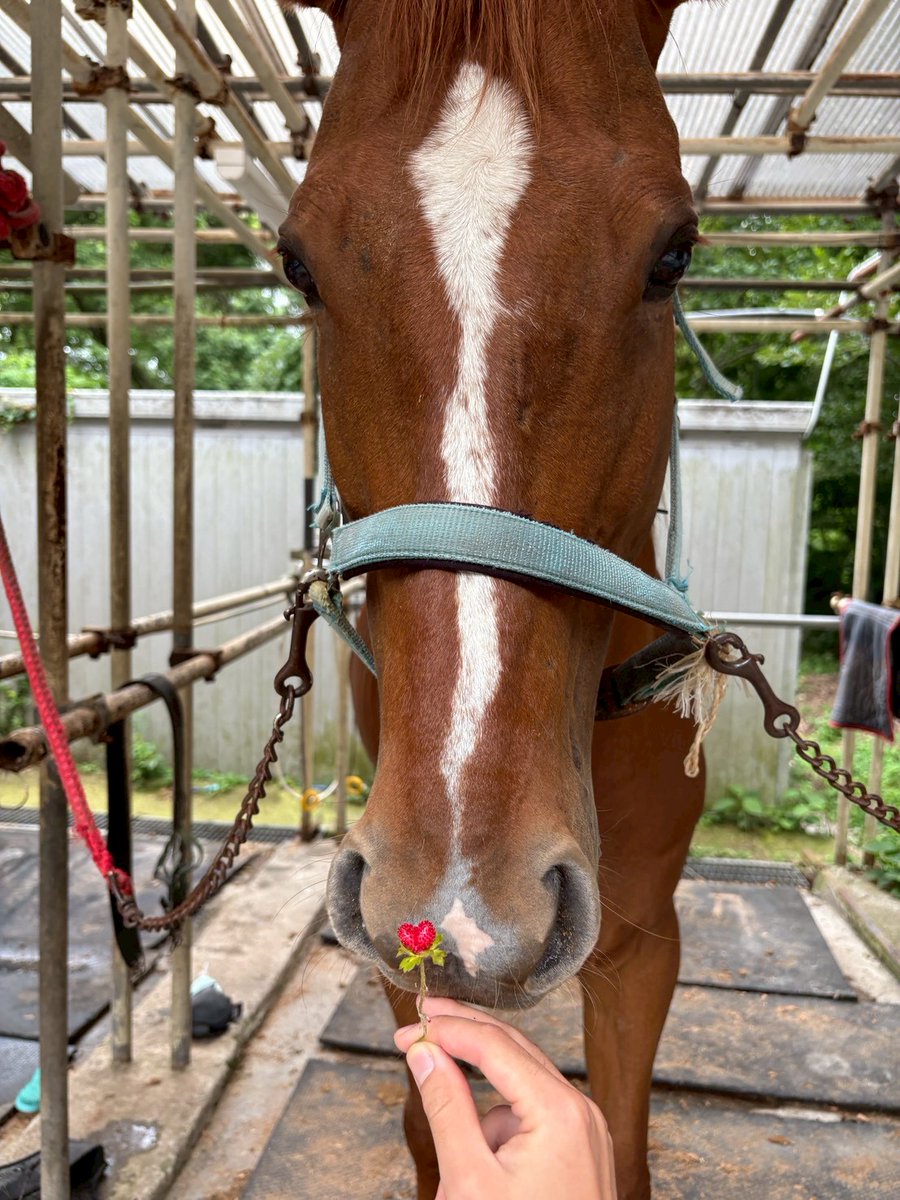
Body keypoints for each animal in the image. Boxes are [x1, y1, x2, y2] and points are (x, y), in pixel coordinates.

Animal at [279, 4, 704, 1196]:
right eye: (297, 264)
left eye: (673, 255)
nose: (469, 906)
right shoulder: (398, 953)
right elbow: (432, 1129)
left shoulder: (643, 945)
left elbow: (621, 1143)